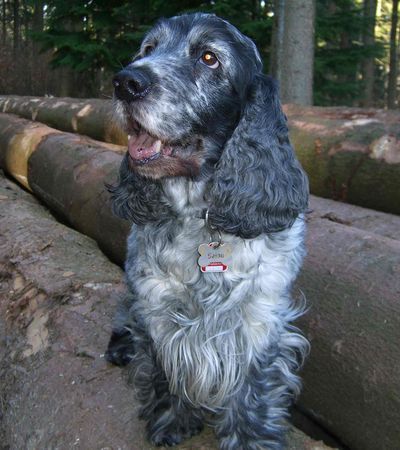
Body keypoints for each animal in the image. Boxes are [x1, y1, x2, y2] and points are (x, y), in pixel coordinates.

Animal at [106, 13, 310, 450]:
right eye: (148, 50)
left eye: (209, 58)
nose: (126, 82)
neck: (198, 218)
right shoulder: (156, 307)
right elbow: (164, 371)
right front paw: (171, 422)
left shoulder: (260, 316)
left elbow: (253, 388)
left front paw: (252, 439)